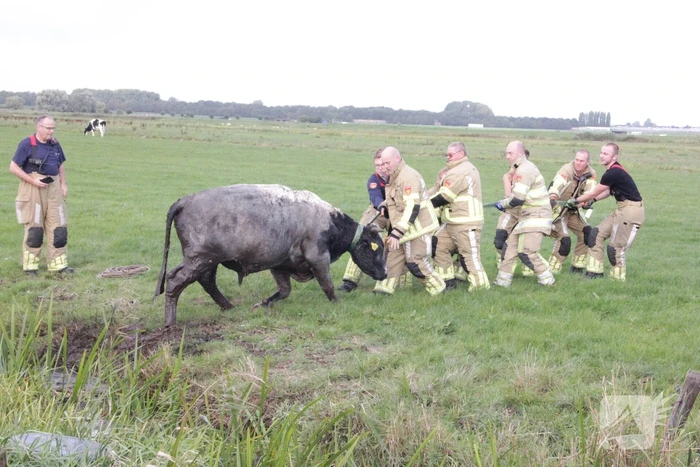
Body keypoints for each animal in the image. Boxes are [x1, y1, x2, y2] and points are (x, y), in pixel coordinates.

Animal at [153, 184, 387, 326]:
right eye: (376, 248)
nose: (385, 274)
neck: (329, 220)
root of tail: (185, 200)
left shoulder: (280, 264)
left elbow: (284, 291)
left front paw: (262, 304)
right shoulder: (318, 257)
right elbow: (327, 285)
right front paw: (336, 302)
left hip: (205, 261)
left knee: (205, 281)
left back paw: (228, 306)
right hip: (200, 259)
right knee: (174, 281)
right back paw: (170, 322)